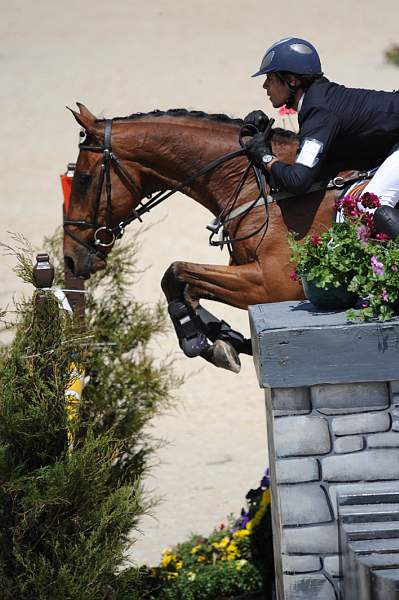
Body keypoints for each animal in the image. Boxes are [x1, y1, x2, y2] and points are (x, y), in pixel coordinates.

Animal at [64, 105, 340, 372]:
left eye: (83, 178)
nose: (69, 258)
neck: (258, 184)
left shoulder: (272, 284)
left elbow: (175, 272)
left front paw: (197, 341)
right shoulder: (247, 274)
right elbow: (185, 285)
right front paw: (225, 340)